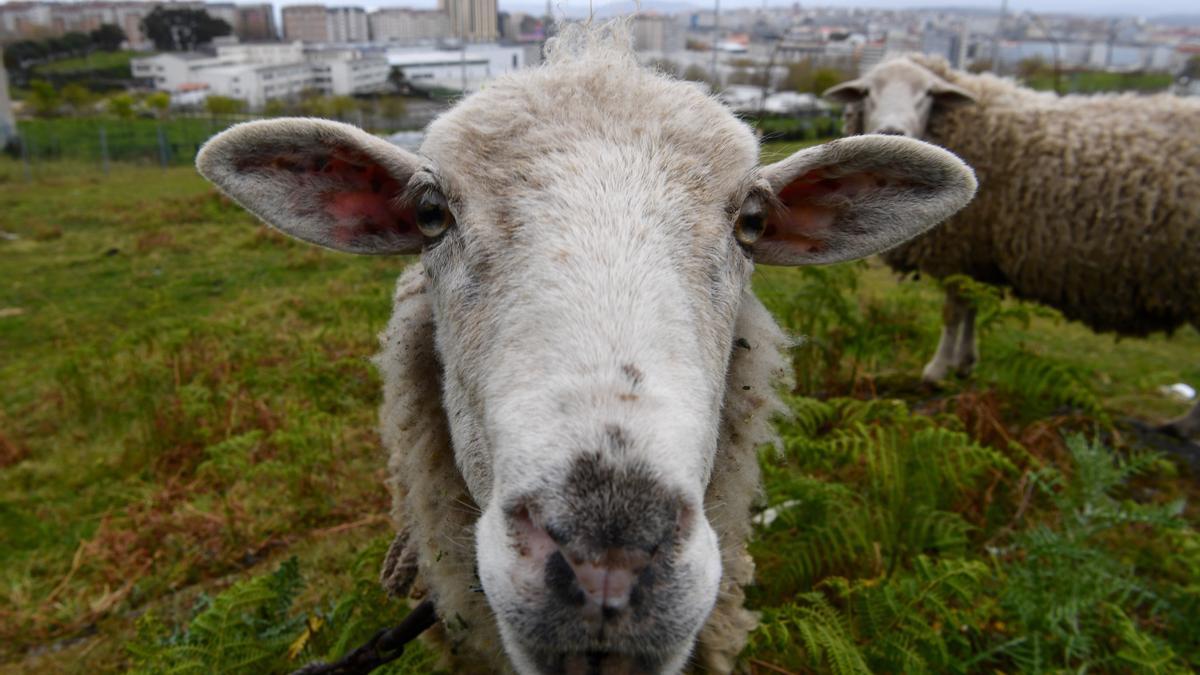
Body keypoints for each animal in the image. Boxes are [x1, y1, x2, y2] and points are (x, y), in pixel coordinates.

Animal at [825, 55, 1200, 439]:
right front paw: (964, 363)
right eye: (867, 92)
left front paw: (937, 369)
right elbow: (971, 309)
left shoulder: (960, 252)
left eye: (928, 94)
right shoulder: (976, 256)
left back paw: (1183, 425)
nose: (892, 131)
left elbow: (953, 312)